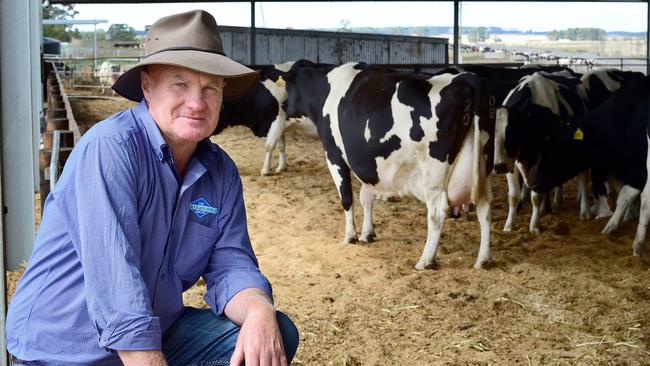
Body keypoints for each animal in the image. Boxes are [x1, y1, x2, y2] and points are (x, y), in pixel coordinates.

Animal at [284, 60, 492, 268]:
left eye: (288, 87)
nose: (284, 106)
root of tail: (464, 78)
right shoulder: (368, 164)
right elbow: (366, 196)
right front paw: (367, 234)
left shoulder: (334, 155)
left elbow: (347, 198)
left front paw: (350, 236)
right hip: (483, 168)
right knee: (485, 209)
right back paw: (483, 260)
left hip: (434, 177)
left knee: (437, 214)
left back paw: (425, 260)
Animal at [494, 71, 588, 234]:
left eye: (512, 132)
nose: (499, 166)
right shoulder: (511, 162)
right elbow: (513, 196)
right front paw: (509, 225)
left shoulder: (542, 159)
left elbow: (536, 196)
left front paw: (534, 226)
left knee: (582, 178)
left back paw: (584, 210)